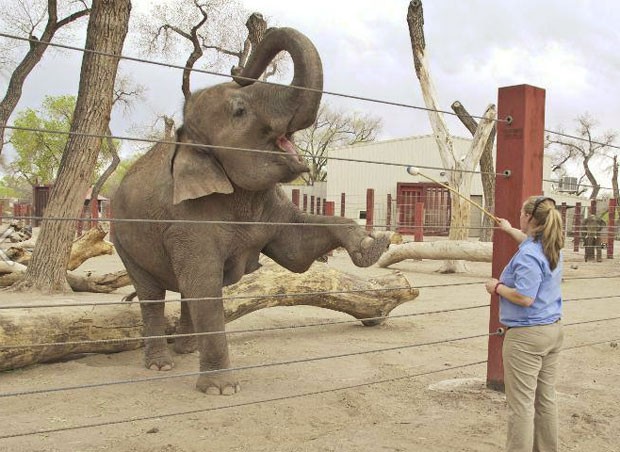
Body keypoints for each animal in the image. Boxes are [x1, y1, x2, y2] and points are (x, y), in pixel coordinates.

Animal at [112, 27, 388, 396]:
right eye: (240, 111)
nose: (237, 69)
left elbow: (296, 252)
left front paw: (374, 246)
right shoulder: (185, 221)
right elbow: (205, 287)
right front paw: (222, 390)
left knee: (182, 290)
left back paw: (187, 350)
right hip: (122, 239)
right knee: (153, 295)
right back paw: (161, 364)